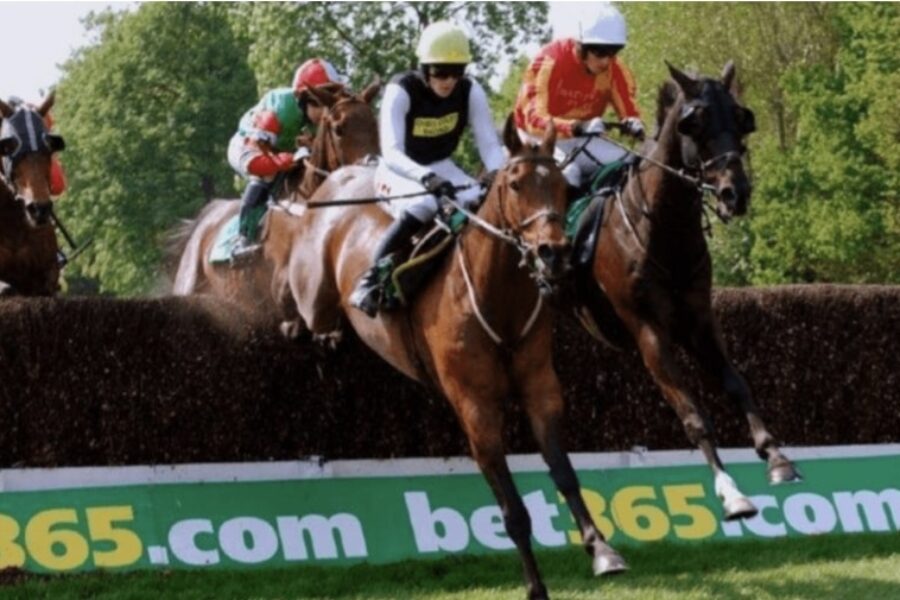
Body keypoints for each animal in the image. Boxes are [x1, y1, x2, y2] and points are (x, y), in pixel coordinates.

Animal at [282, 117, 626, 599]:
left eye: (561, 185)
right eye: (515, 185)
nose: (553, 252)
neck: (495, 297)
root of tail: (340, 177)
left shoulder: (540, 388)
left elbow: (565, 473)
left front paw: (603, 551)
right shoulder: (475, 408)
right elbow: (513, 511)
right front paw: (536, 586)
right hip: (313, 291)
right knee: (295, 297)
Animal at [569, 61, 801, 521]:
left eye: (741, 118)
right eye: (696, 122)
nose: (735, 193)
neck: (663, 231)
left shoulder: (699, 321)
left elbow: (736, 384)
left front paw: (777, 457)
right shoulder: (649, 332)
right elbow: (693, 414)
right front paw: (730, 491)